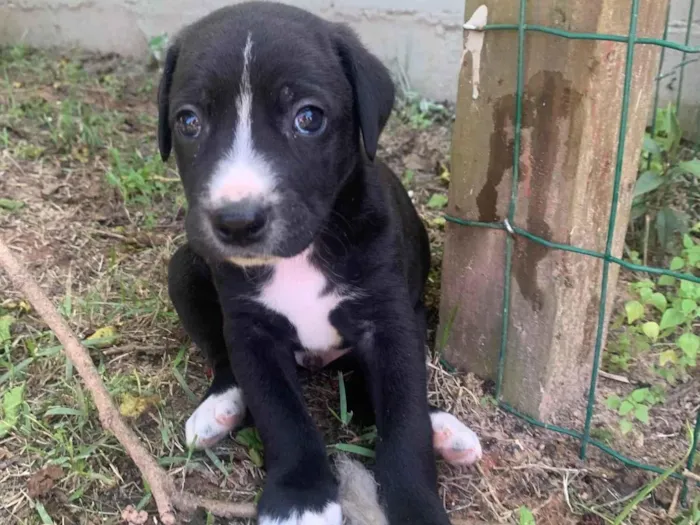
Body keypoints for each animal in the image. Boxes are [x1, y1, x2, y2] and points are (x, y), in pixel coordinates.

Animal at [157, 2, 482, 520]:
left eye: (308, 117)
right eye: (188, 121)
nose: (237, 222)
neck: (302, 253)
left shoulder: (389, 322)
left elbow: (404, 415)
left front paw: (416, 506)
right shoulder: (251, 330)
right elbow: (280, 412)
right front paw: (299, 498)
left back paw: (443, 430)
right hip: (185, 270)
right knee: (222, 357)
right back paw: (219, 407)